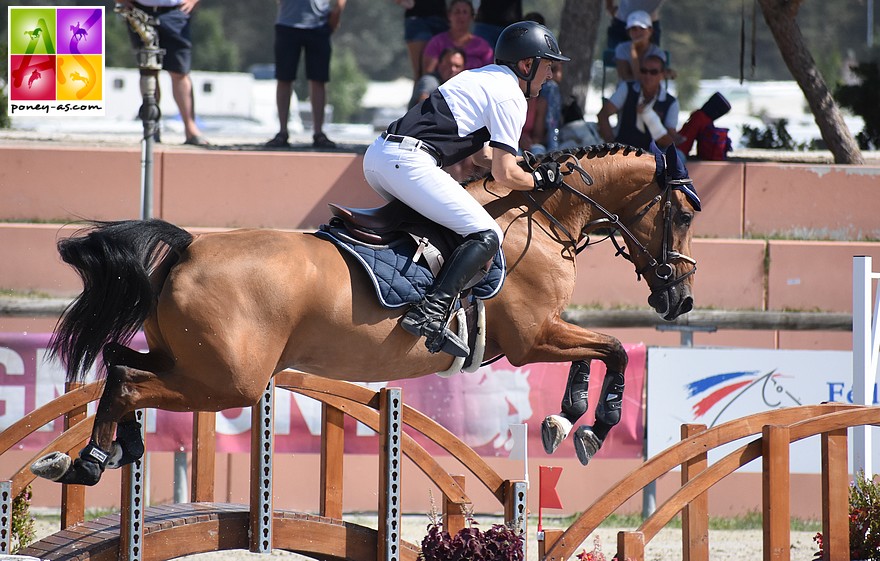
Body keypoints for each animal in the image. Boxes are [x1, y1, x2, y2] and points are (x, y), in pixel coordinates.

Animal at [29, 142, 700, 484]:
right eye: (685, 214)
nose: (681, 301)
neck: (539, 217)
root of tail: (190, 248)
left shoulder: (543, 336)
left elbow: (599, 354)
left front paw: (566, 421)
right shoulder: (532, 338)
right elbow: (613, 349)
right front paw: (592, 427)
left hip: (191, 363)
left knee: (121, 365)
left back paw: (109, 451)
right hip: (228, 382)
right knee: (129, 380)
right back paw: (90, 462)